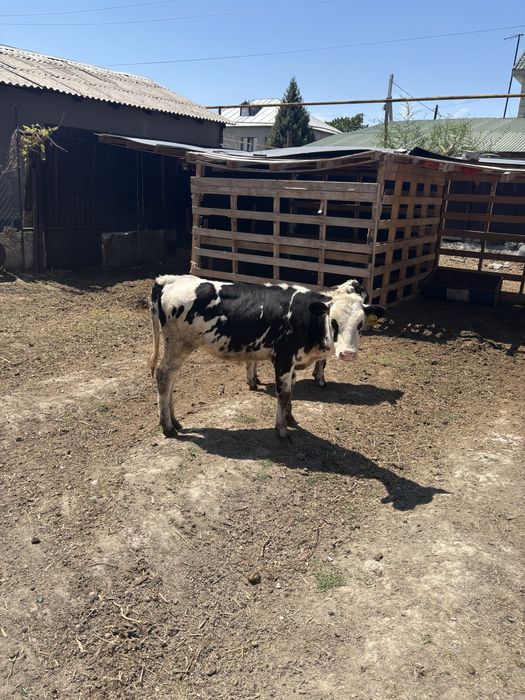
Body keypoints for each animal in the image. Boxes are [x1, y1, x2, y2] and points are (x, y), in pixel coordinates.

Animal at [149, 275, 385, 438]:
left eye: (360, 323)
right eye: (333, 321)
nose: (347, 354)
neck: (305, 316)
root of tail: (169, 279)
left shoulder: (292, 363)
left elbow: (292, 391)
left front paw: (290, 418)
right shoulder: (283, 358)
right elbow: (283, 393)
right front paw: (282, 429)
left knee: (170, 380)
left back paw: (175, 421)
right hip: (178, 344)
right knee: (163, 376)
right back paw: (167, 426)